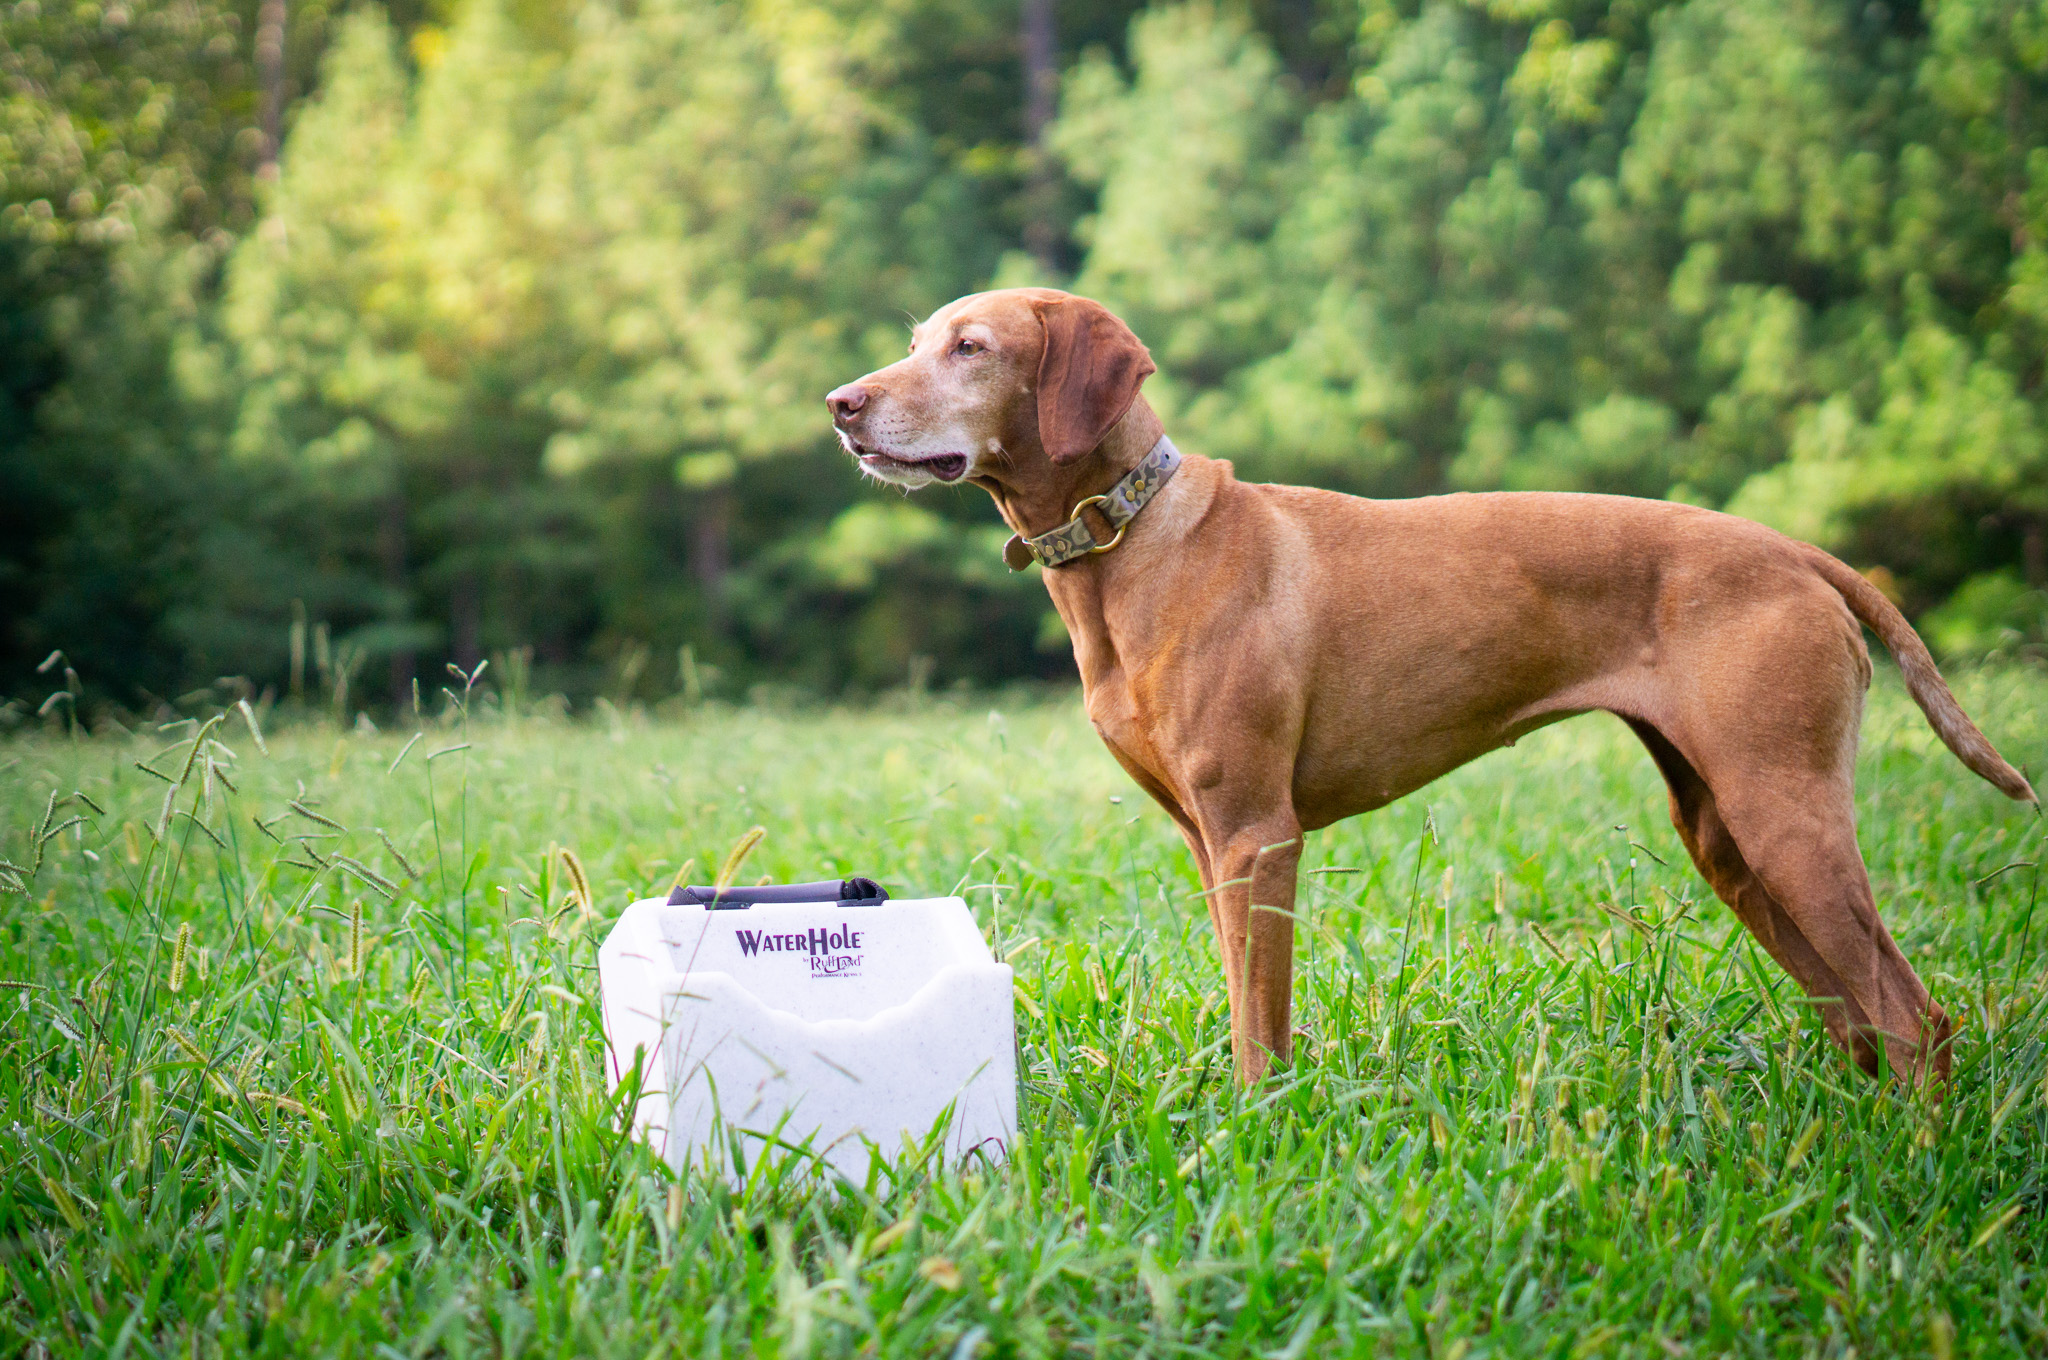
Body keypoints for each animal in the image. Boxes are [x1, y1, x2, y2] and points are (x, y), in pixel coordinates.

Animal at [823, 284, 2023, 1081]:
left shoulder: (1257, 832)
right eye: (915, 343)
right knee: (1862, 1018)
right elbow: (1244, 997)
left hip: (1786, 814)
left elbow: (1258, 1023)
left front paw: (1258, 1127)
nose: (839, 403)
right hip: (1727, 836)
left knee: (1913, 1019)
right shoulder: (1208, 844)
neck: (1134, 540)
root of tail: (1799, 553)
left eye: (971, 347)